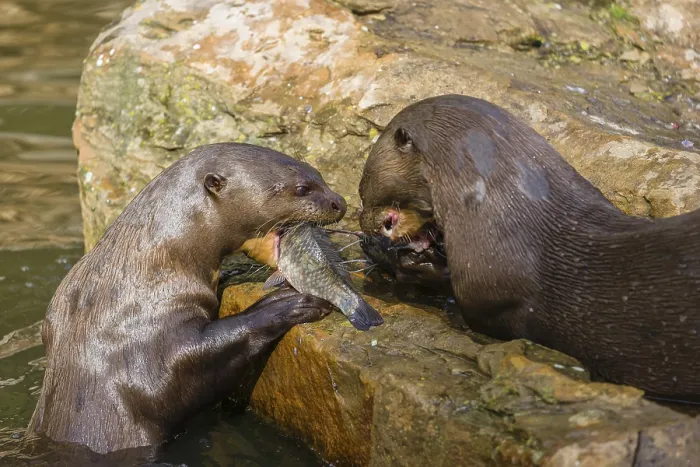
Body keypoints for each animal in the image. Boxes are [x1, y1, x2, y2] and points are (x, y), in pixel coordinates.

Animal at [28, 142, 347, 454]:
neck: (154, 267)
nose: (340, 202)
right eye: (302, 188)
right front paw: (284, 305)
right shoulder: (143, 334)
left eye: (318, 173)